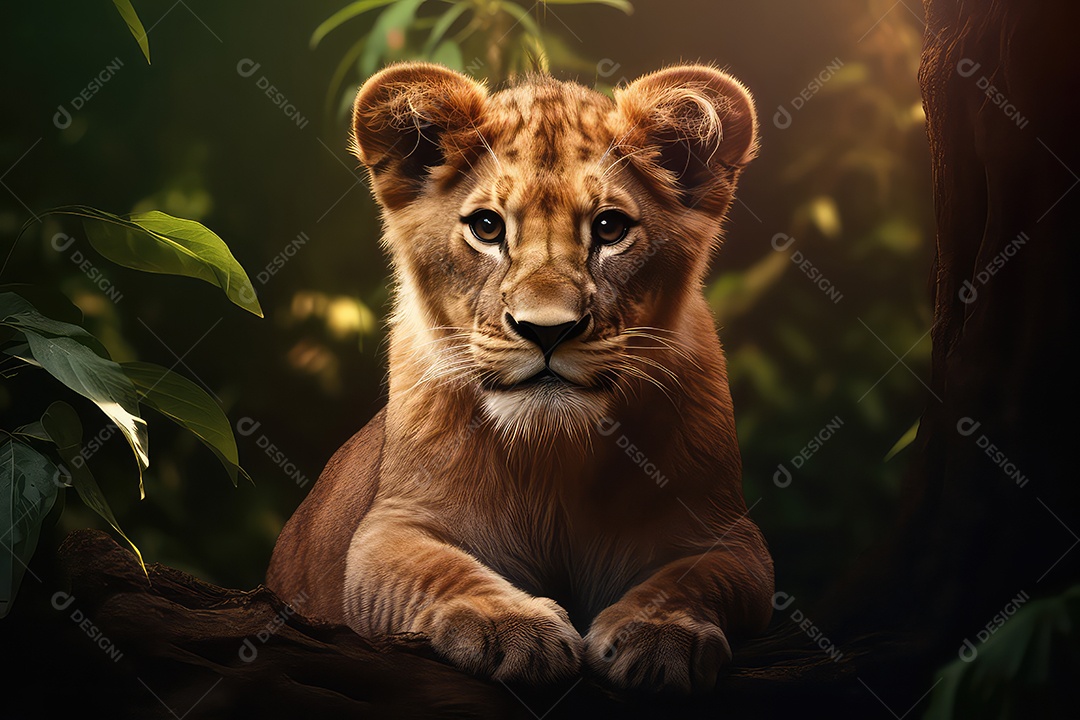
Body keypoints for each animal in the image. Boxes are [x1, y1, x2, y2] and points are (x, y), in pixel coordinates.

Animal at [267, 61, 774, 694]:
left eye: (610, 228)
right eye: (487, 227)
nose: (547, 330)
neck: (552, 456)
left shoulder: (731, 538)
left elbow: (693, 580)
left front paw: (659, 634)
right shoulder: (391, 528)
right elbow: (443, 571)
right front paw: (513, 627)